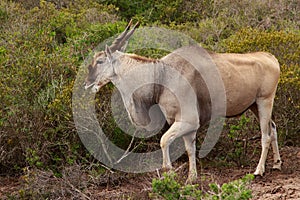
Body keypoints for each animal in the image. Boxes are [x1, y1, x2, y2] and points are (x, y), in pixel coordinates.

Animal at [84, 21, 282, 182]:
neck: (162, 73)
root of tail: (270, 57)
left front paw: (169, 171)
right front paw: (192, 178)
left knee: (265, 135)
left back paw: (259, 170)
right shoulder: (187, 126)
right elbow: (190, 149)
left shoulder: (188, 121)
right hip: (254, 106)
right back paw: (277, 163)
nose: (87, 83)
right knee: (273, 128)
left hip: (264, 101)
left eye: (100, 61)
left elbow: (164, 140)